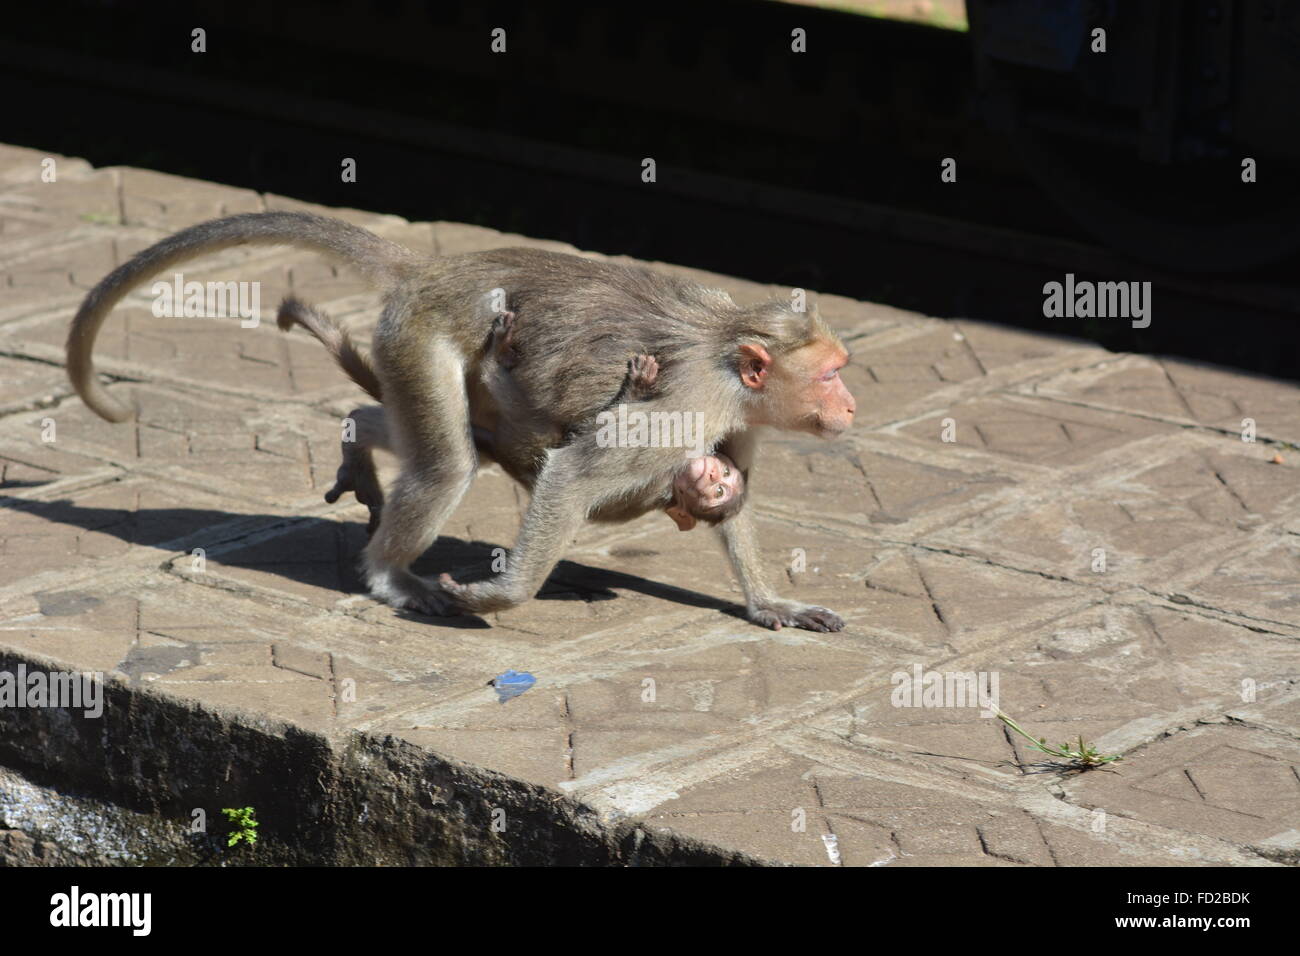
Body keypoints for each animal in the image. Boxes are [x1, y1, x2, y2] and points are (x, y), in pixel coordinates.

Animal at [486, 310, 743, 530]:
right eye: (725, 474)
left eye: (719, 492)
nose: (712, 475)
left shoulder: (655, 472)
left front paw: (636, 389)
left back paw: (497, 353)